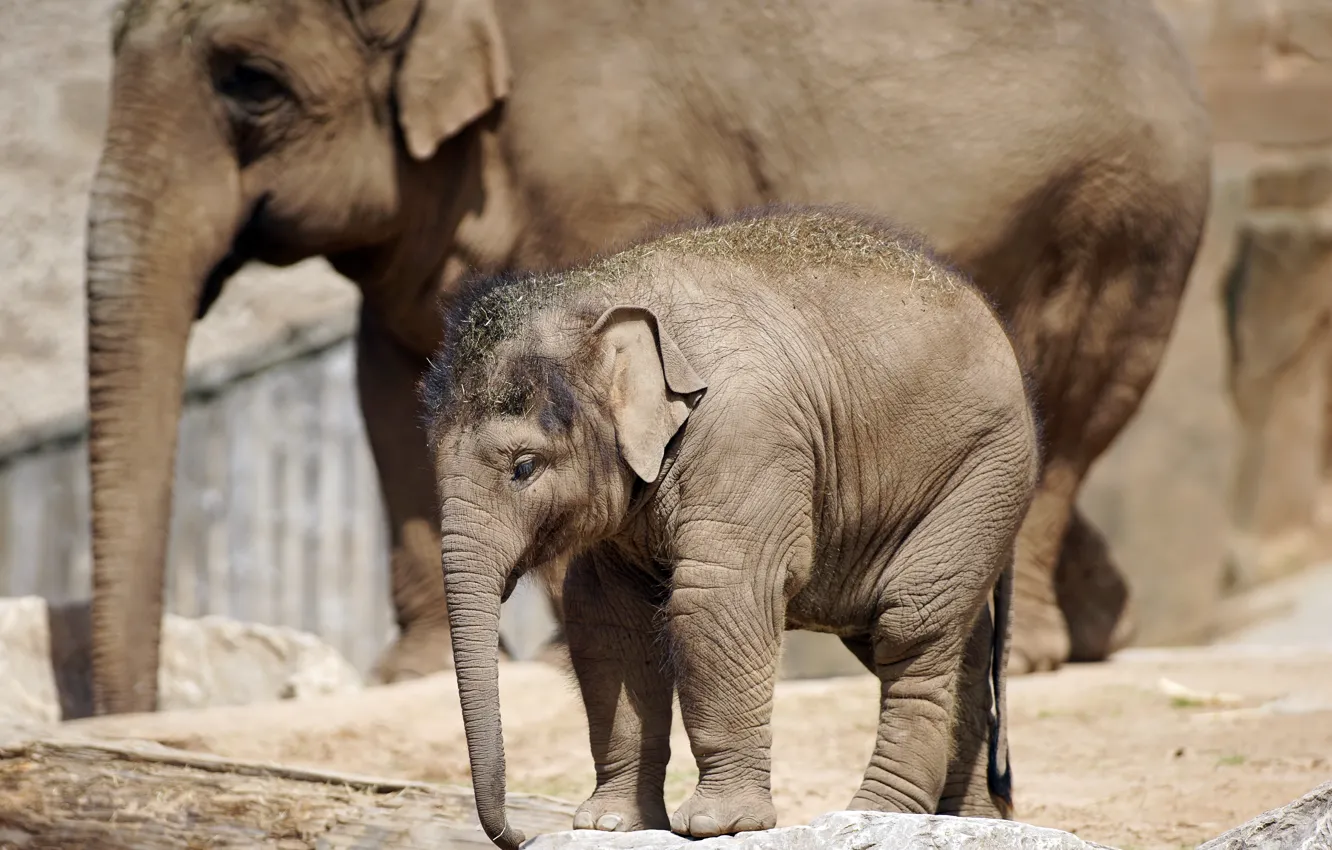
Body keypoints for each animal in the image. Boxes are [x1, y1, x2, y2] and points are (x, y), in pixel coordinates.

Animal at [85, 0, 1210, 714]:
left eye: (250, 84)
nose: (126, 714)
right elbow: (383, 380)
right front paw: (404, 676)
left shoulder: (612, 161)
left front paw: (543, 652)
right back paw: (1101, 627)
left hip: (1127, 222)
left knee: (1072, 405)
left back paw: (1038, 651)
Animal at [420, 207, 1040, 849]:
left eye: (524, 466)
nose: (517, 834)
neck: (603, 290)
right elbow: (605, 618)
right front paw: (609, 825)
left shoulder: (745, 433)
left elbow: (716, 598)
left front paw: (718, 825)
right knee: (943, 644)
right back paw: (968, 821)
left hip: (985, 470)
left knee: (909, 626)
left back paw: (876, 813)